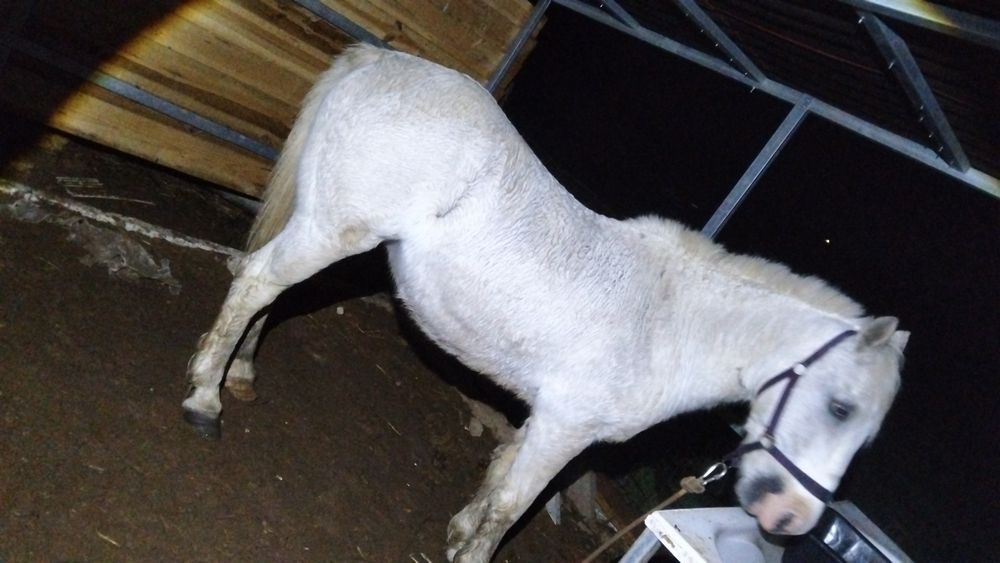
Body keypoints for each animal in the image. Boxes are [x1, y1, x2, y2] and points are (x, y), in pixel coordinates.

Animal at [182, 45, 908, 562]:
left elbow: (496, 484)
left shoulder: (542, 422)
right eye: (840, 407)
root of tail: (384, 61)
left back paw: (241, 373)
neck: (667, 323)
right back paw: (205, 399)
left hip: (325, 228)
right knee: (256, 282)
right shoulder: (564, 428)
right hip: (336, 231)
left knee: (274, 292)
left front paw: (457, 535)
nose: (793, 518)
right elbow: (509, 507)